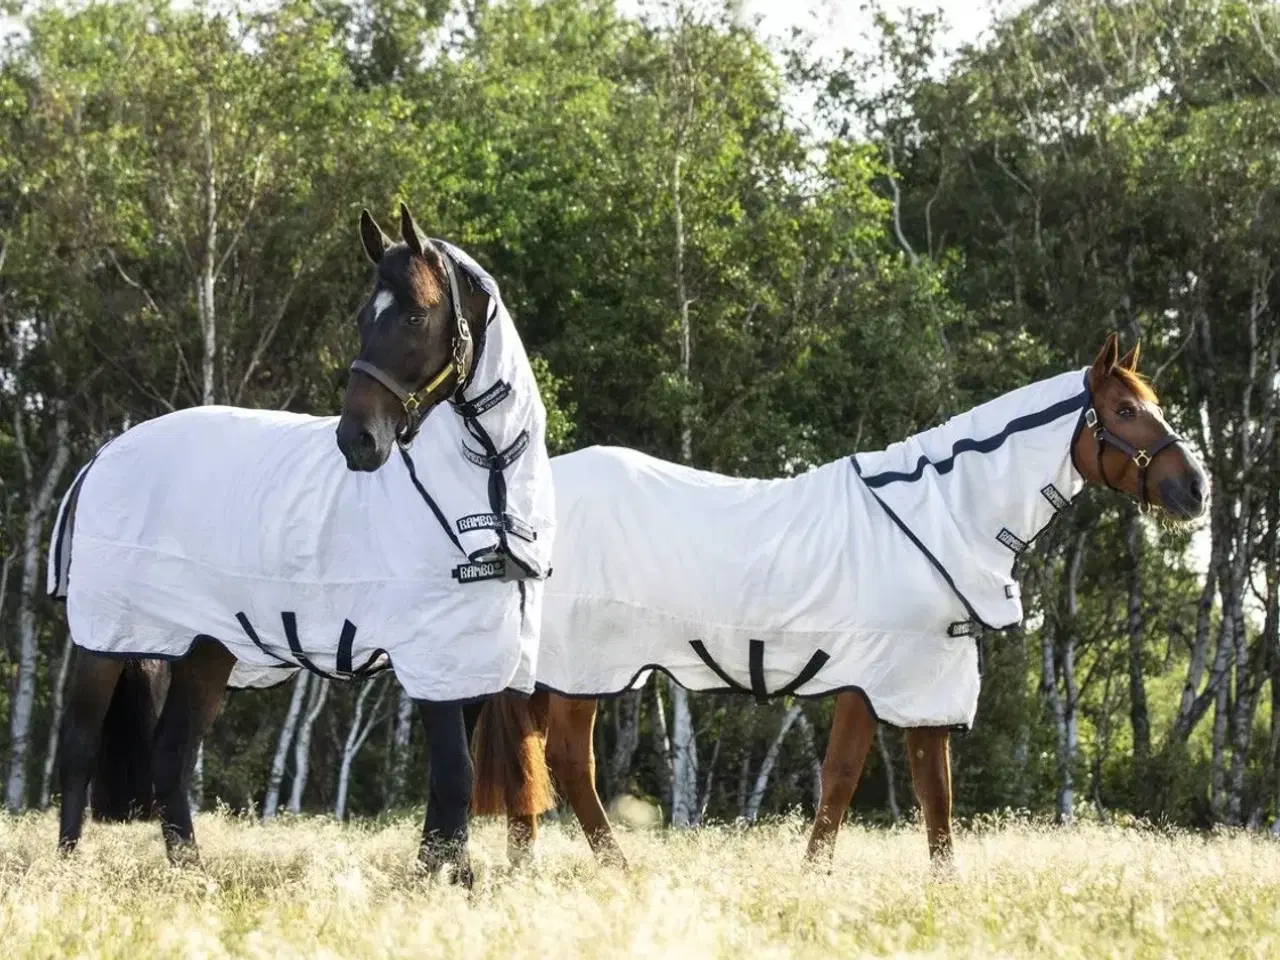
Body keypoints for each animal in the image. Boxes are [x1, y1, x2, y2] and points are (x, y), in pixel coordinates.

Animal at [52, 207, 552, 890]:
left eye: (415, 316)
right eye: (364, 317)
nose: (358, 441)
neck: (489, 489)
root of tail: (104, 455)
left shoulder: (470, 654)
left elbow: (451, 778)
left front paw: (441, 876)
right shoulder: (432, 650)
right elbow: (454, 775)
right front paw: (449, 885)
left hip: (205, 647)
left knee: (171, 754)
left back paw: (192, 876)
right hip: (104, 638)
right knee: (79, 747)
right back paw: (68, 870)